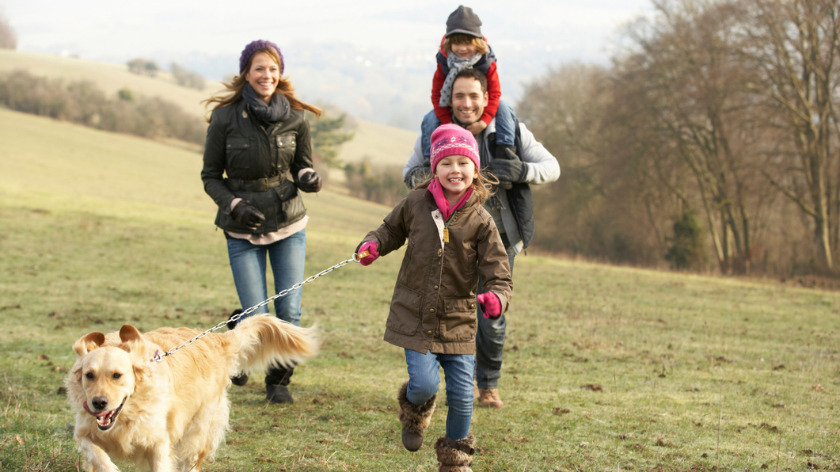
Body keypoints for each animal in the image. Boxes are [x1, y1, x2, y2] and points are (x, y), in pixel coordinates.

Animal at [65, 316, 318, 470]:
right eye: (89, 375)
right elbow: (98, 455)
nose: (99, 403)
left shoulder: (158, 443)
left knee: (192, 460)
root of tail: (217, 339)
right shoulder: (84, 433)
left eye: (117, 375)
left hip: (199, 427)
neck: (127, 414)